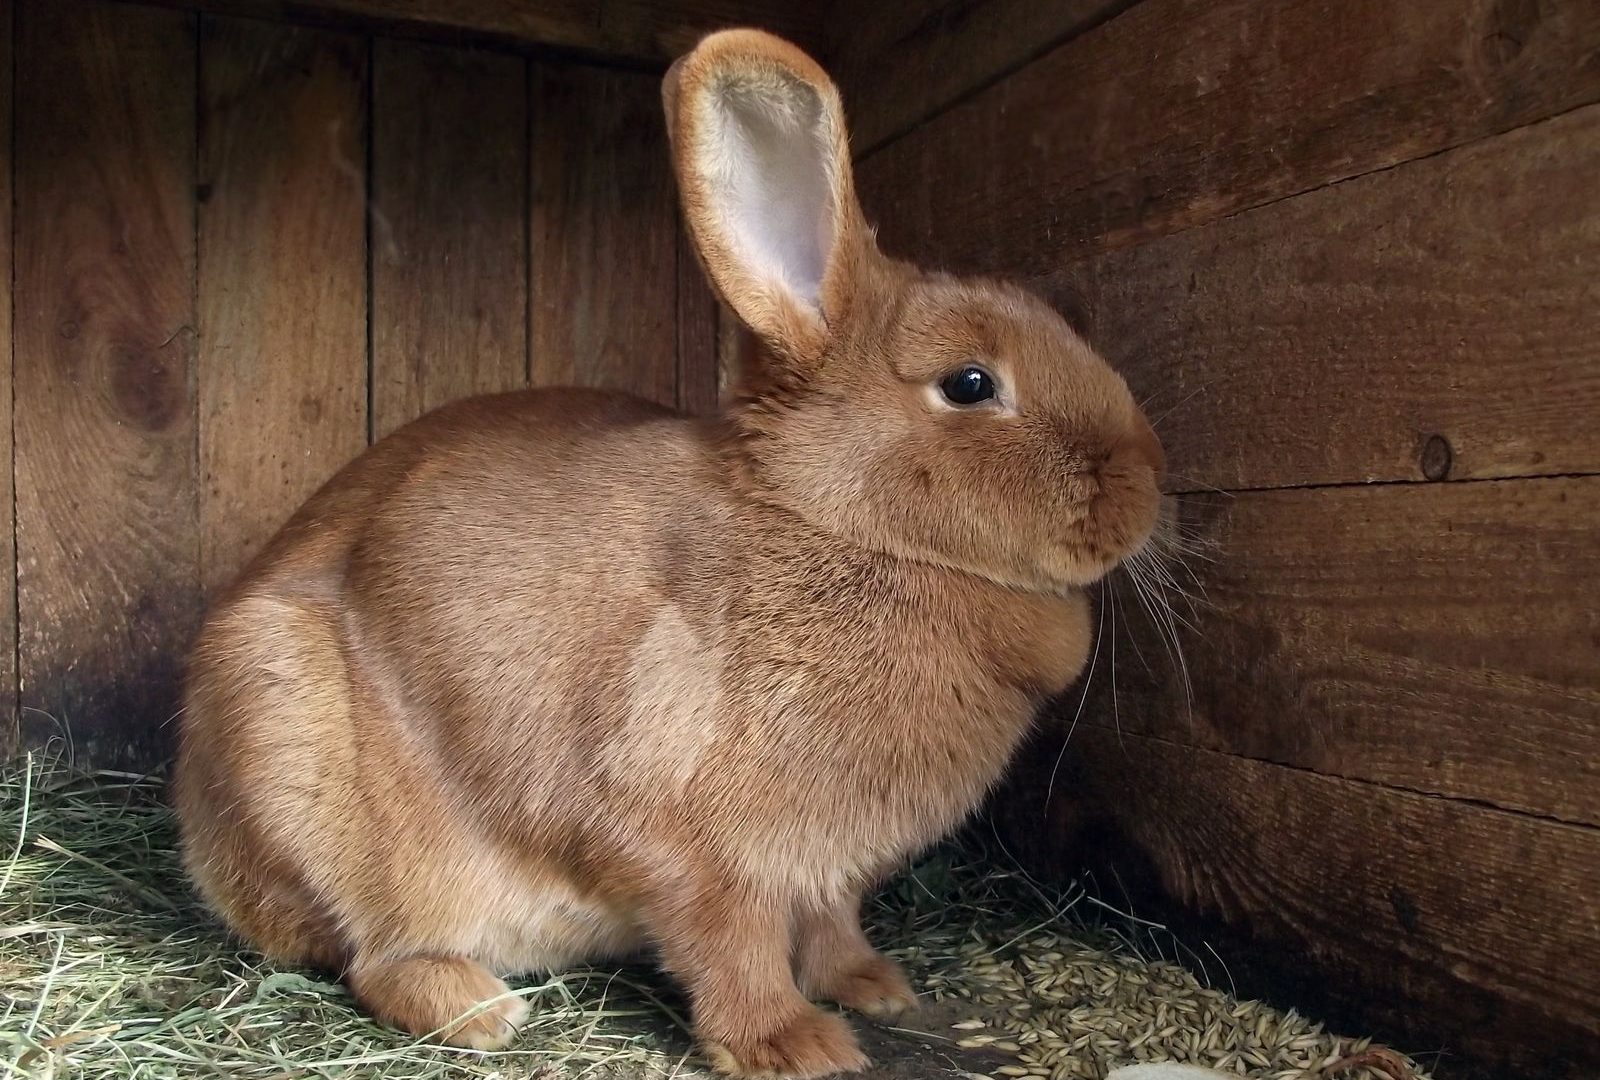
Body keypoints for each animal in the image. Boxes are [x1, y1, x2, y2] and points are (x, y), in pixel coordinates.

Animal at [172, 27, 1164, 1080]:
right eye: (970, 383)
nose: (1146, 485)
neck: (835, 523)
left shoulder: (827, 870)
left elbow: (831, 926)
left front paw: (873, 987)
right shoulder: (685, 832)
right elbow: (729, 941)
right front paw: (795, 1045)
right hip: (294, 752)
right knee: (371, 951)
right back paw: (476, 1008)